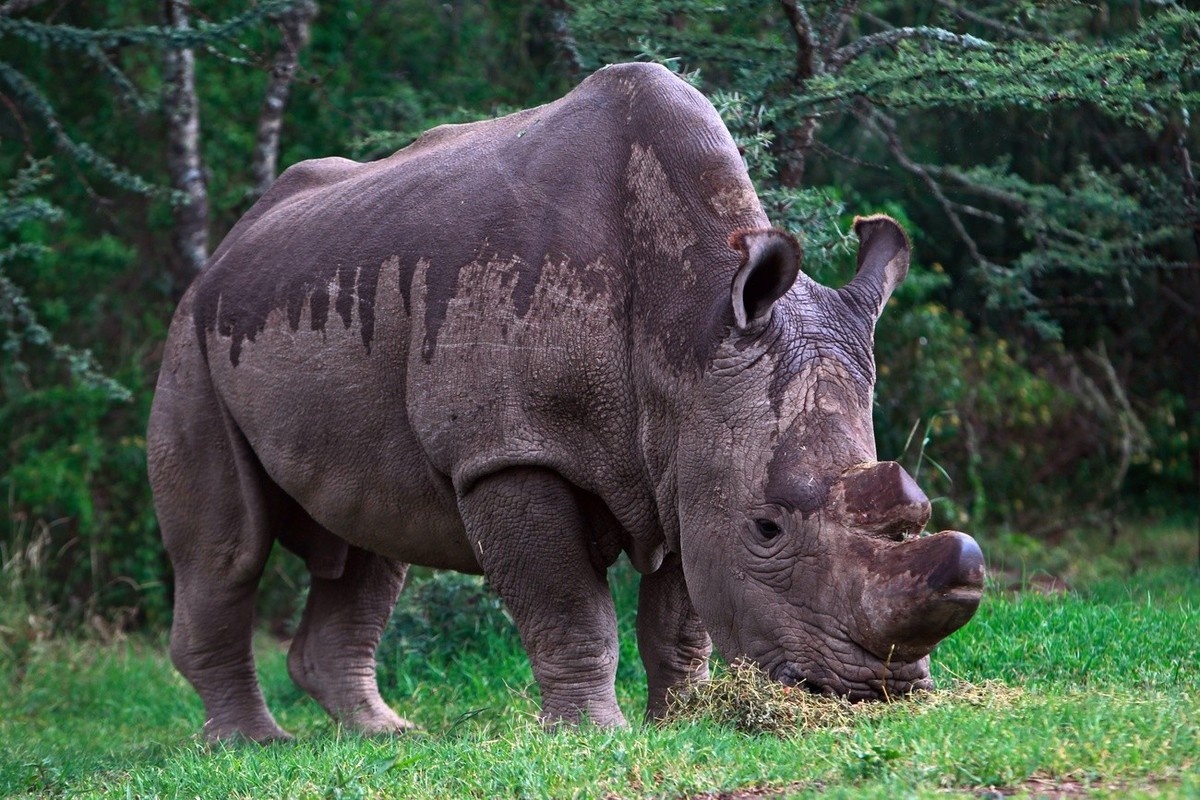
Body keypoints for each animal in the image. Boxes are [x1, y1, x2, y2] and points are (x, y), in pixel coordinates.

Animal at [148, 62, 984, 741]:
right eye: (767, 529)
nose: (870, 692)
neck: (691, 314)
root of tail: (229, 245)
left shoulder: (688, 445)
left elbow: (680, 614)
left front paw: (682, 721)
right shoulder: (512, 448)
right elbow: (569, 605)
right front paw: (593, 734)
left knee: (372, 536)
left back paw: (383, 734)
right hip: (191, 336)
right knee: (229, 551)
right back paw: (253, 744)